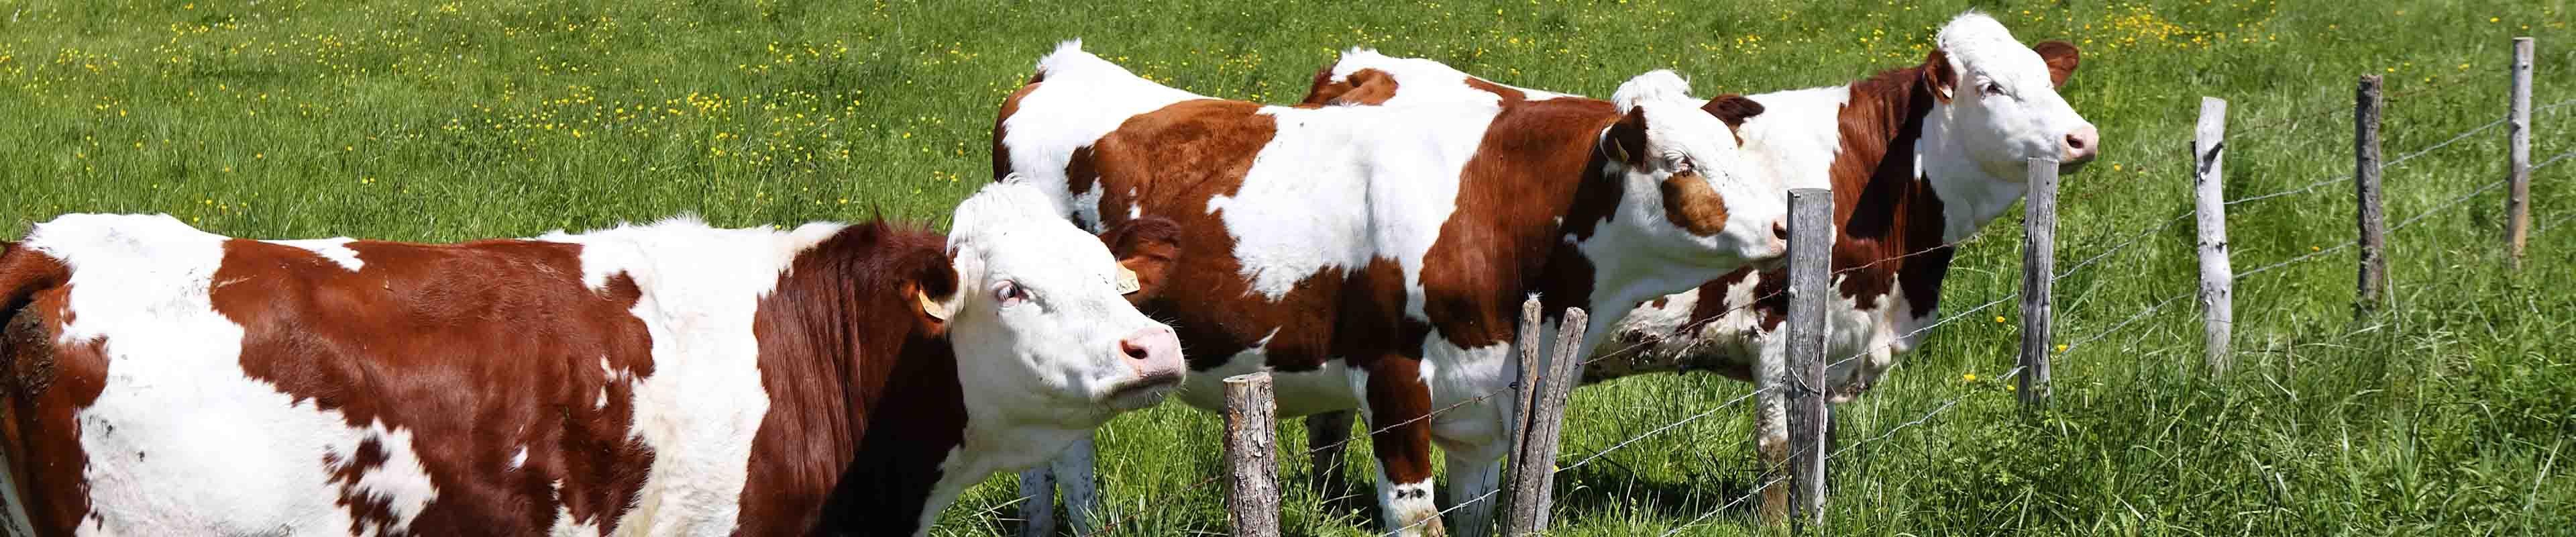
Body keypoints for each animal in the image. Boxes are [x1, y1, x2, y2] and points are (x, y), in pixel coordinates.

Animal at [983, 40, 1792, 534]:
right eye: (1682, 163)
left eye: (1732, 148)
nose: (1786, 224)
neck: (1497, 207)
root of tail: (1061, 68)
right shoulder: (1394, 381)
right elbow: (1417, 516)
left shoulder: (1487, 401)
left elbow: (1474, 513)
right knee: (1070, 462)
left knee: (1039, 463)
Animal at [1283, 10, 2092, 519]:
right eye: (1992, 86)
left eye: (2048, 79)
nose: (2083, 137)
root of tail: (1356, 68)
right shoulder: (1780, 327)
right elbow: (1781, 445)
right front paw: (1783, 520)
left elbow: (1818, 440)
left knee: (1327, 421)